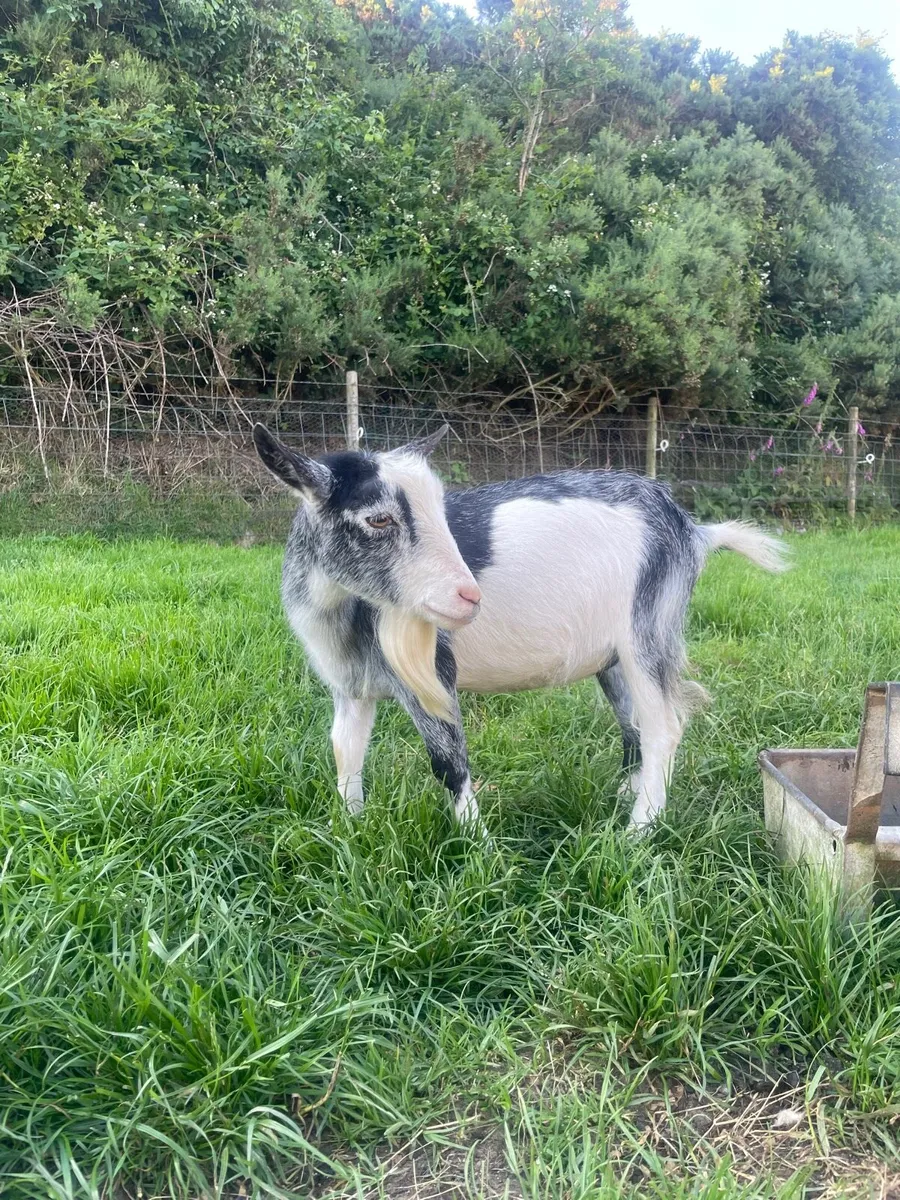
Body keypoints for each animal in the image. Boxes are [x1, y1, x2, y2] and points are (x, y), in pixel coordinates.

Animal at [253, 423, 785, 831]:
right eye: (378, 519)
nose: (469, 596)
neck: (343, 616)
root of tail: (694, 531)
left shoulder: (431, 674)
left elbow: (448, 763)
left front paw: (477, 846)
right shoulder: (351, 685)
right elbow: (345, 751)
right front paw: (350, 828)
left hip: (648, 630)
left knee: (664, 728)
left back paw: (640, 829)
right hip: (614, 655)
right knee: (632, 721)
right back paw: (624, 794)